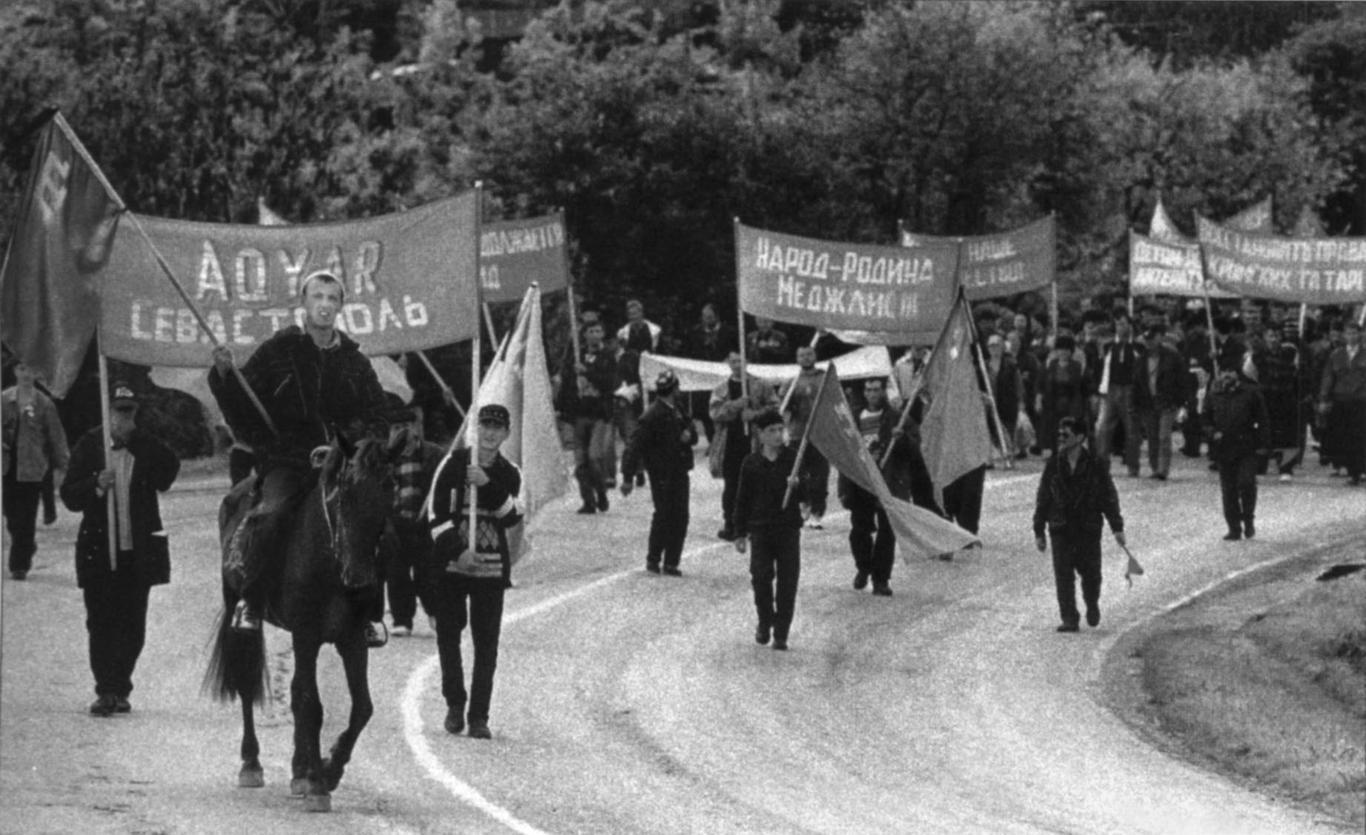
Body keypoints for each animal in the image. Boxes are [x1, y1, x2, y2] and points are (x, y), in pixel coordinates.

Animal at [202, 434, 398, 814]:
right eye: (345, 494)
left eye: (389, 490)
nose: (359, 579)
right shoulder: (307, 635)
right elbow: (311, 705)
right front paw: (319, 785)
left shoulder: (352, 639)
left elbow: (361, 707)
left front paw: (328, 769)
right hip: (240, 612)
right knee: (249, 682)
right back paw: (252, 764)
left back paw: (298, 770)